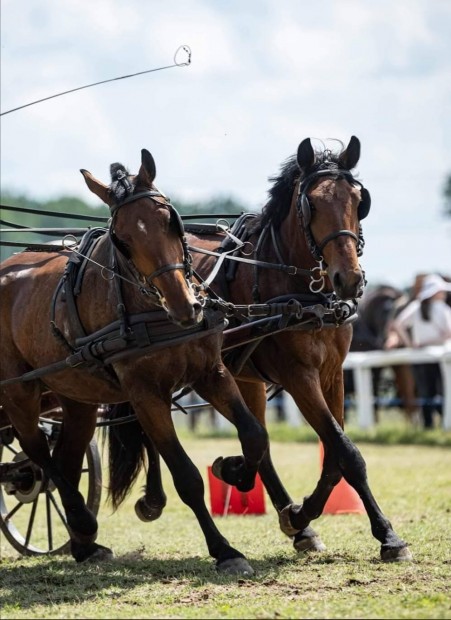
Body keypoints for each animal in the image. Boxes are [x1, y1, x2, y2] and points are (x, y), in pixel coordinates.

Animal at [0, 148, 268, 572]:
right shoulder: (145, 395)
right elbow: (187, 477)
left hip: (76, 396)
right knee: (40, 455)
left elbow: (255, 435)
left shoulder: (211, 372)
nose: (185, 306)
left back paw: (84, 544)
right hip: (19, 394)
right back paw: (81, 521)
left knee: (66, 457)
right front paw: (225, 550)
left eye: (171, 221)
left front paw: (233, 470)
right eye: (122, 240)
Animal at [128, 134, 414, 560]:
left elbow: (335, 457)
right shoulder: (298, 376)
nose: (348, 279)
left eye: (358, 200)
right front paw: (387, 535)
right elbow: (345, 451)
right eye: (311, 205)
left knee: (257, 442)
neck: (299, 291)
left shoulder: (332, 375)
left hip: (244, 377)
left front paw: (303, 516)